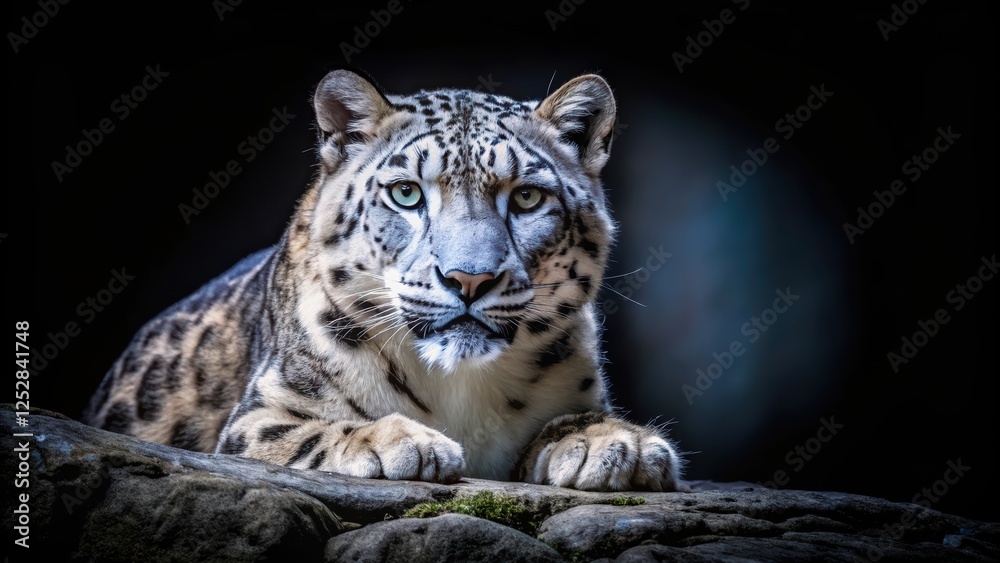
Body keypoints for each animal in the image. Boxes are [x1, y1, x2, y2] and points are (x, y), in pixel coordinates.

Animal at [83, 69, 687, 491]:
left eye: (527, 198)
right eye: (406, 192)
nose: (469, 279)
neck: (462, 389)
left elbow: (572, 418)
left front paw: (614, 442)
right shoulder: (256, 417)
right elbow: (310, 430)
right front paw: (395, 441)